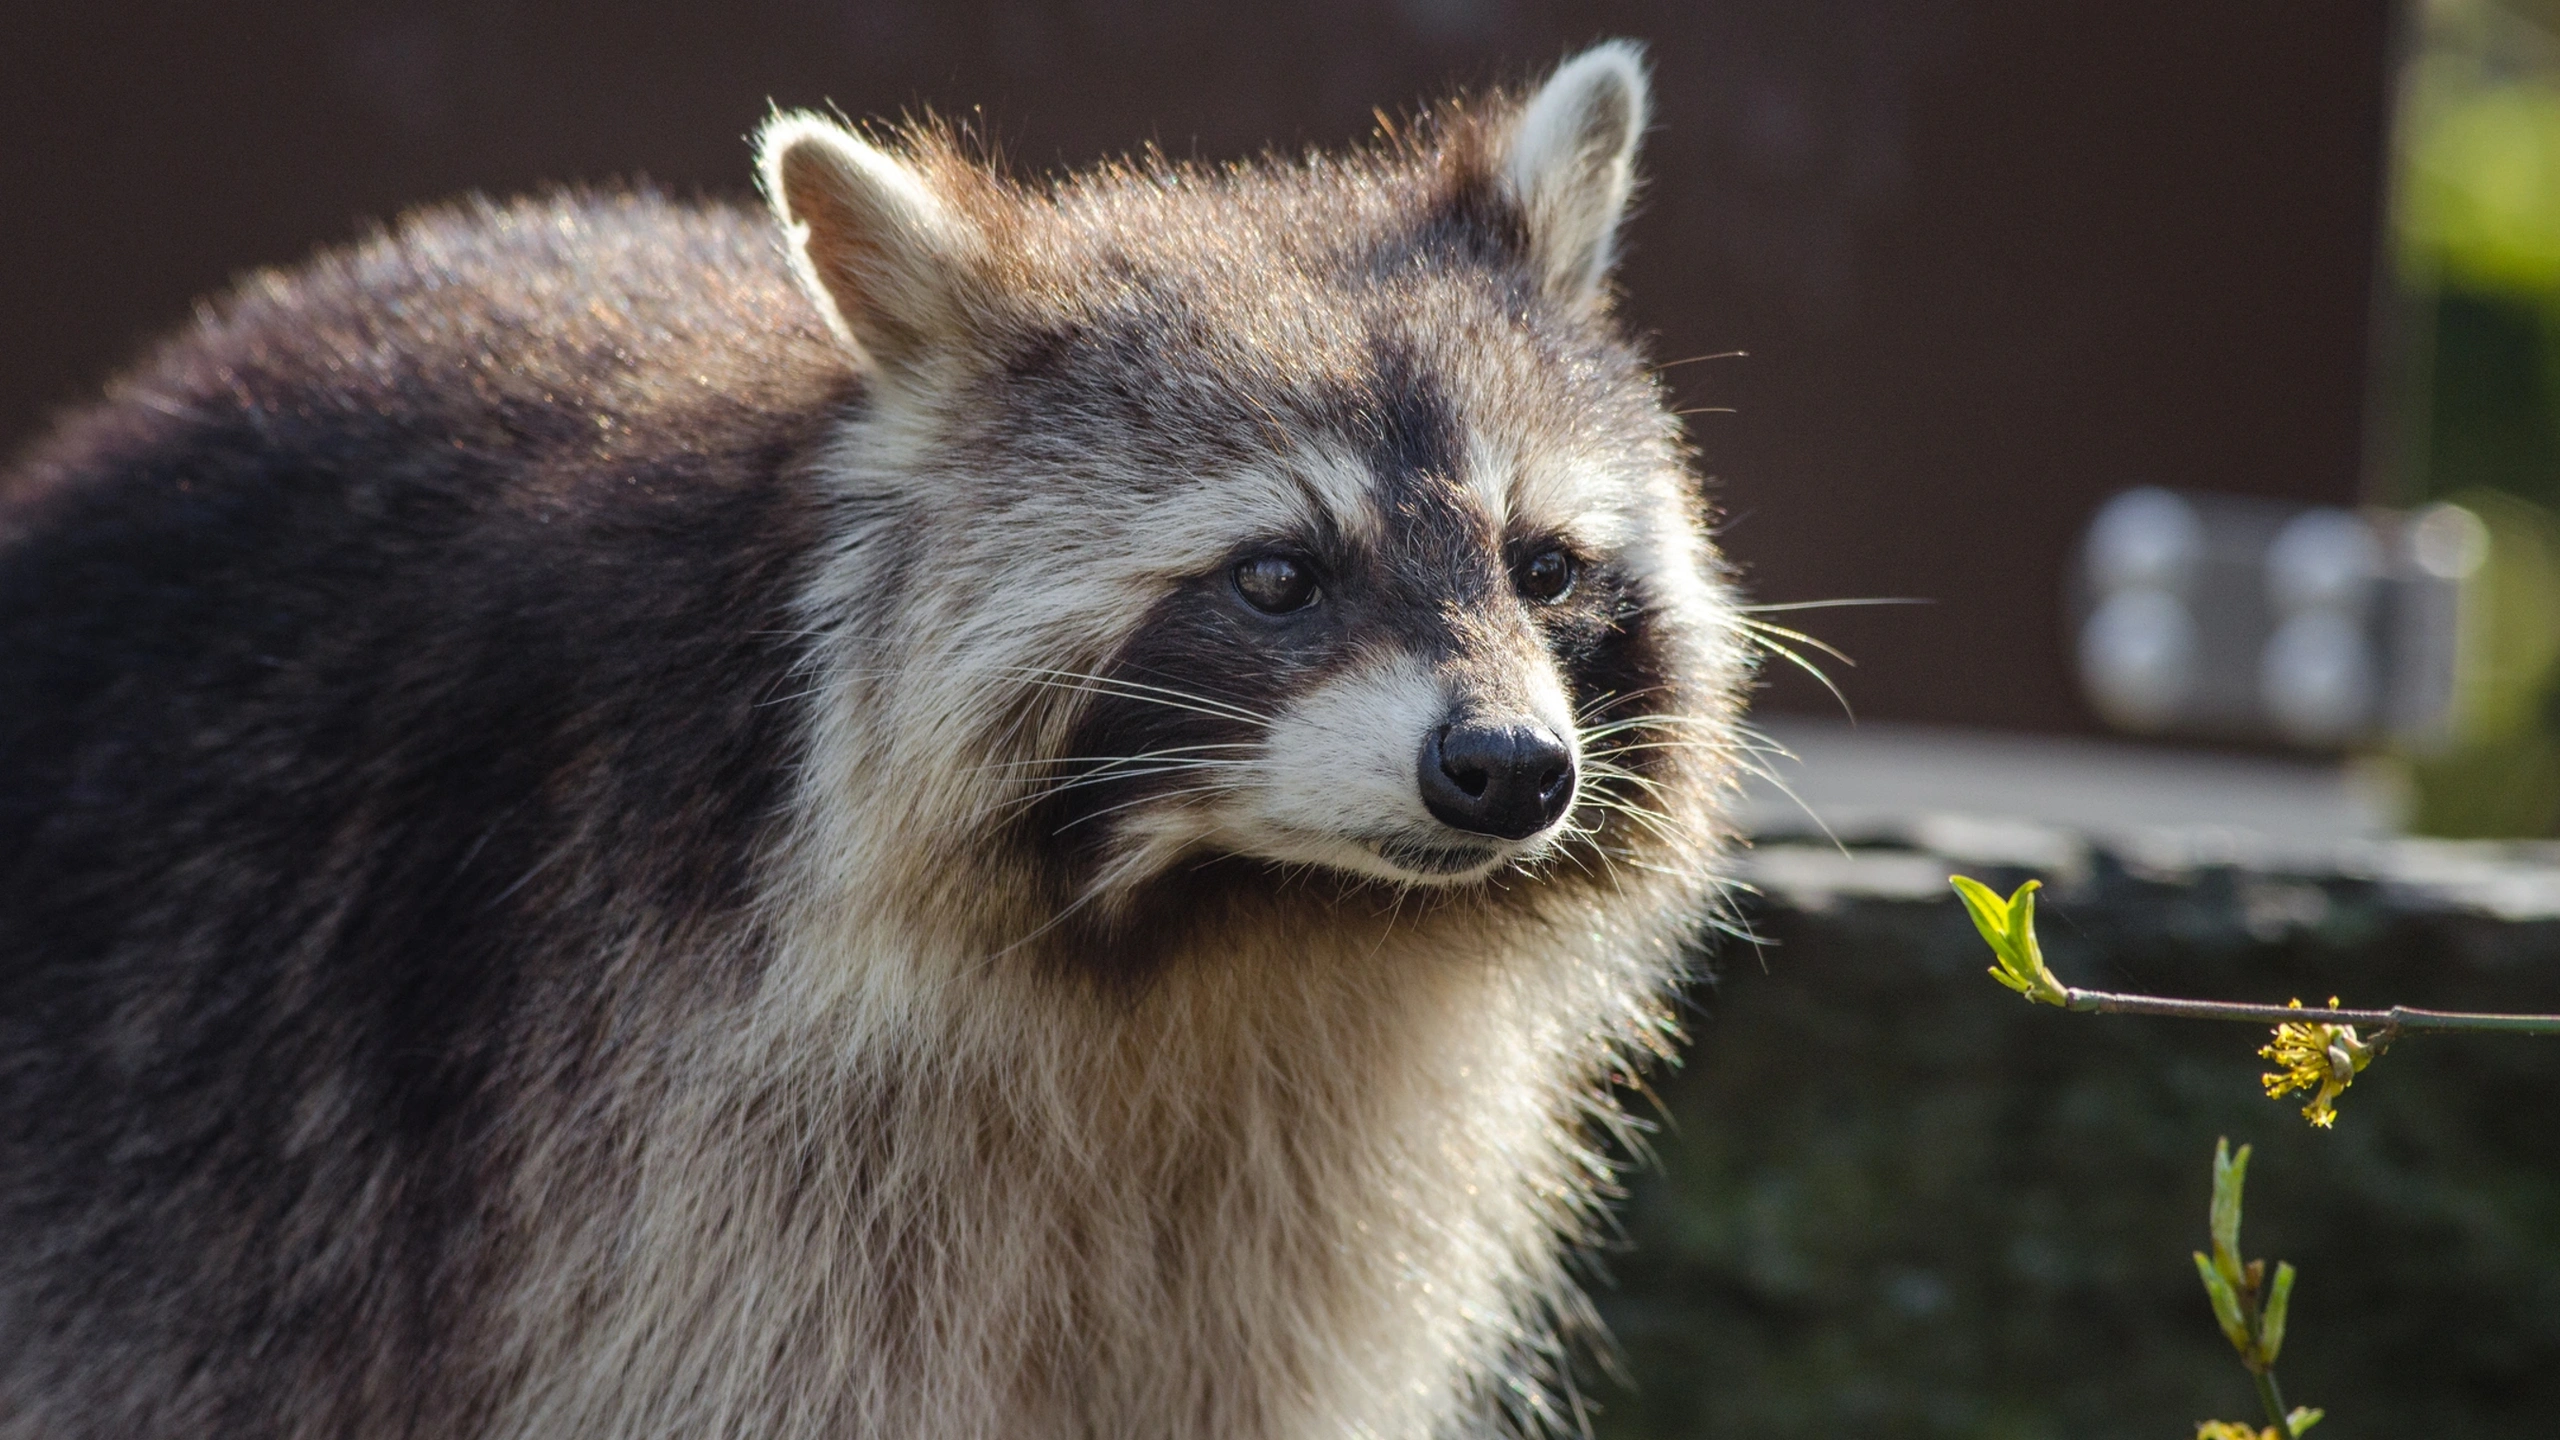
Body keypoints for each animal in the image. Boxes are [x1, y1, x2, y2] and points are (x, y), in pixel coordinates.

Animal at [0, 41, 1740, 1434]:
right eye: (1277, 576)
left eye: (1542, 565)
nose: (1506, 770)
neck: (1231, 916)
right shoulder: (659, 1133)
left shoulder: (1300, 1199)